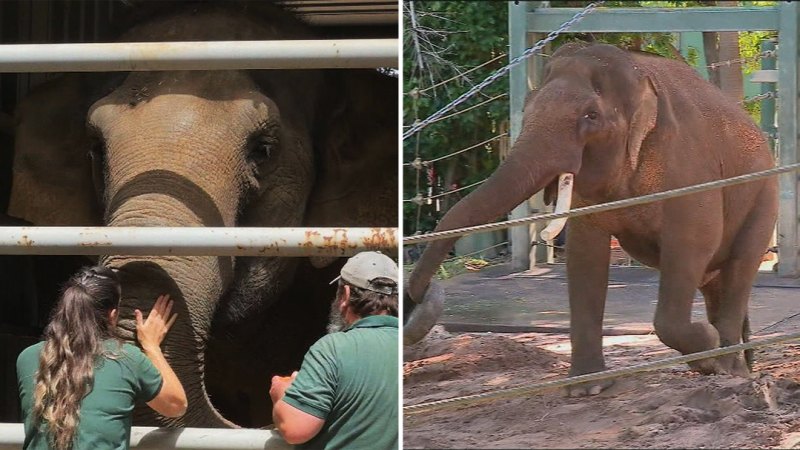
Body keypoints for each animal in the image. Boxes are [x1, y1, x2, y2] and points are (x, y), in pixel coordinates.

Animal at [406, 41, 776, 394]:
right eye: (526, 111)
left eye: (591, 115)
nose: (418, 298)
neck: (635, 73)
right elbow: (585, 254)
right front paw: (586, 388)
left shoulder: (690, 169)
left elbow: (692, 242)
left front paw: (706, 349)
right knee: (716, 282)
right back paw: (736, 366)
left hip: (763, 197)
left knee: (740, 267)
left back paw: (728, 367)